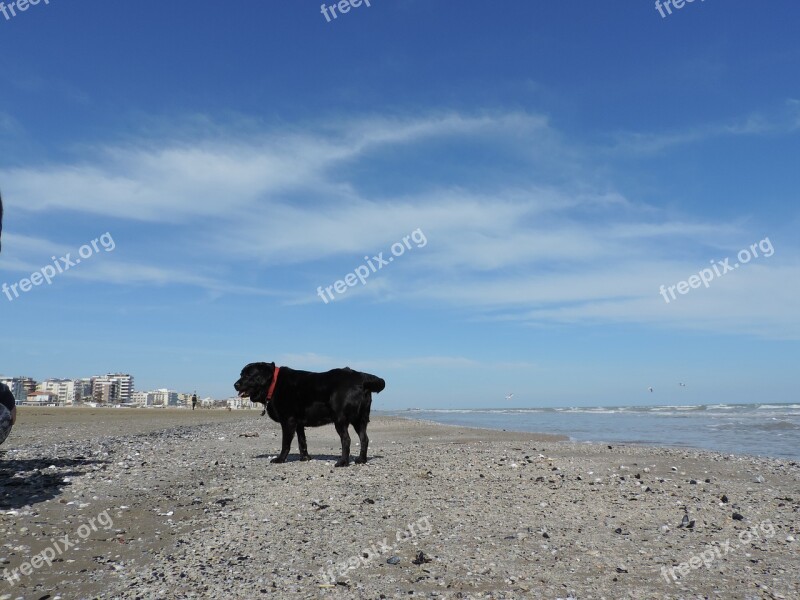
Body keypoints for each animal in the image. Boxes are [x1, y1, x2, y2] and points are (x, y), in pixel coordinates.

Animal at [233, 360, 386, 468]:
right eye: (241, 374)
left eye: (249, 375)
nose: (235, 385)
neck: (273, 384)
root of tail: (360, 377)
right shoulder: (298, 424)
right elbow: (302, 442)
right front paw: (305, 458)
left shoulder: (288, 421)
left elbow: (285, 444)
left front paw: (280, 459)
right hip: (359, 419)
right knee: (364, 439)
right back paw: (361, 460)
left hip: (340, 419)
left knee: (346, 440)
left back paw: (342, 462)